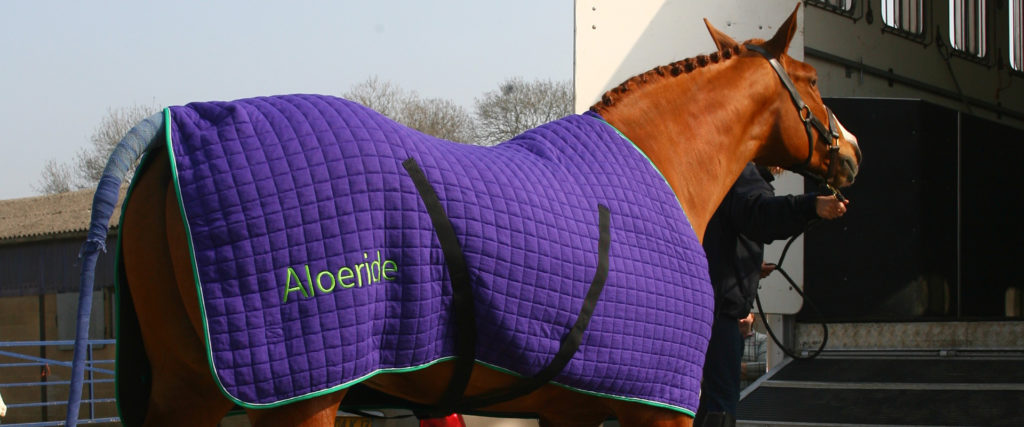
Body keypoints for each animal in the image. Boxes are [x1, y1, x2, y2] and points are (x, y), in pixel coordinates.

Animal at [66, 5, 860, 427]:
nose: (850, 152)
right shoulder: (655, 407)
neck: (656, 168)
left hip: (188, 390)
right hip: (297, 398)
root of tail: (180, 122)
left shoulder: (572, 408)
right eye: (812, 83)